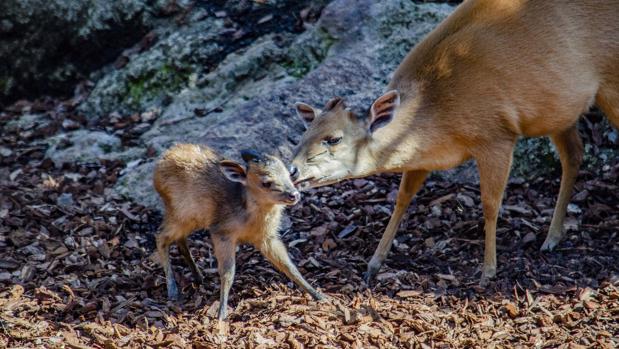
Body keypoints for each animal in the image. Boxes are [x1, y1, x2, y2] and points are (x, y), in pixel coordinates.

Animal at [154, 143, 324, 318]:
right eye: (266, 182)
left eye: (289, 174)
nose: (294, 195)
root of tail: (161, 163)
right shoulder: (222, 233)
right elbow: (228, 273)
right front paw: (221, 313)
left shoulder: (267, 238)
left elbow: (288, 265)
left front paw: (319, 296)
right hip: (178, 214)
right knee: (160, 236)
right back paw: (173, 290)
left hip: (189, 219)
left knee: (180, 240)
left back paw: (197, 276)